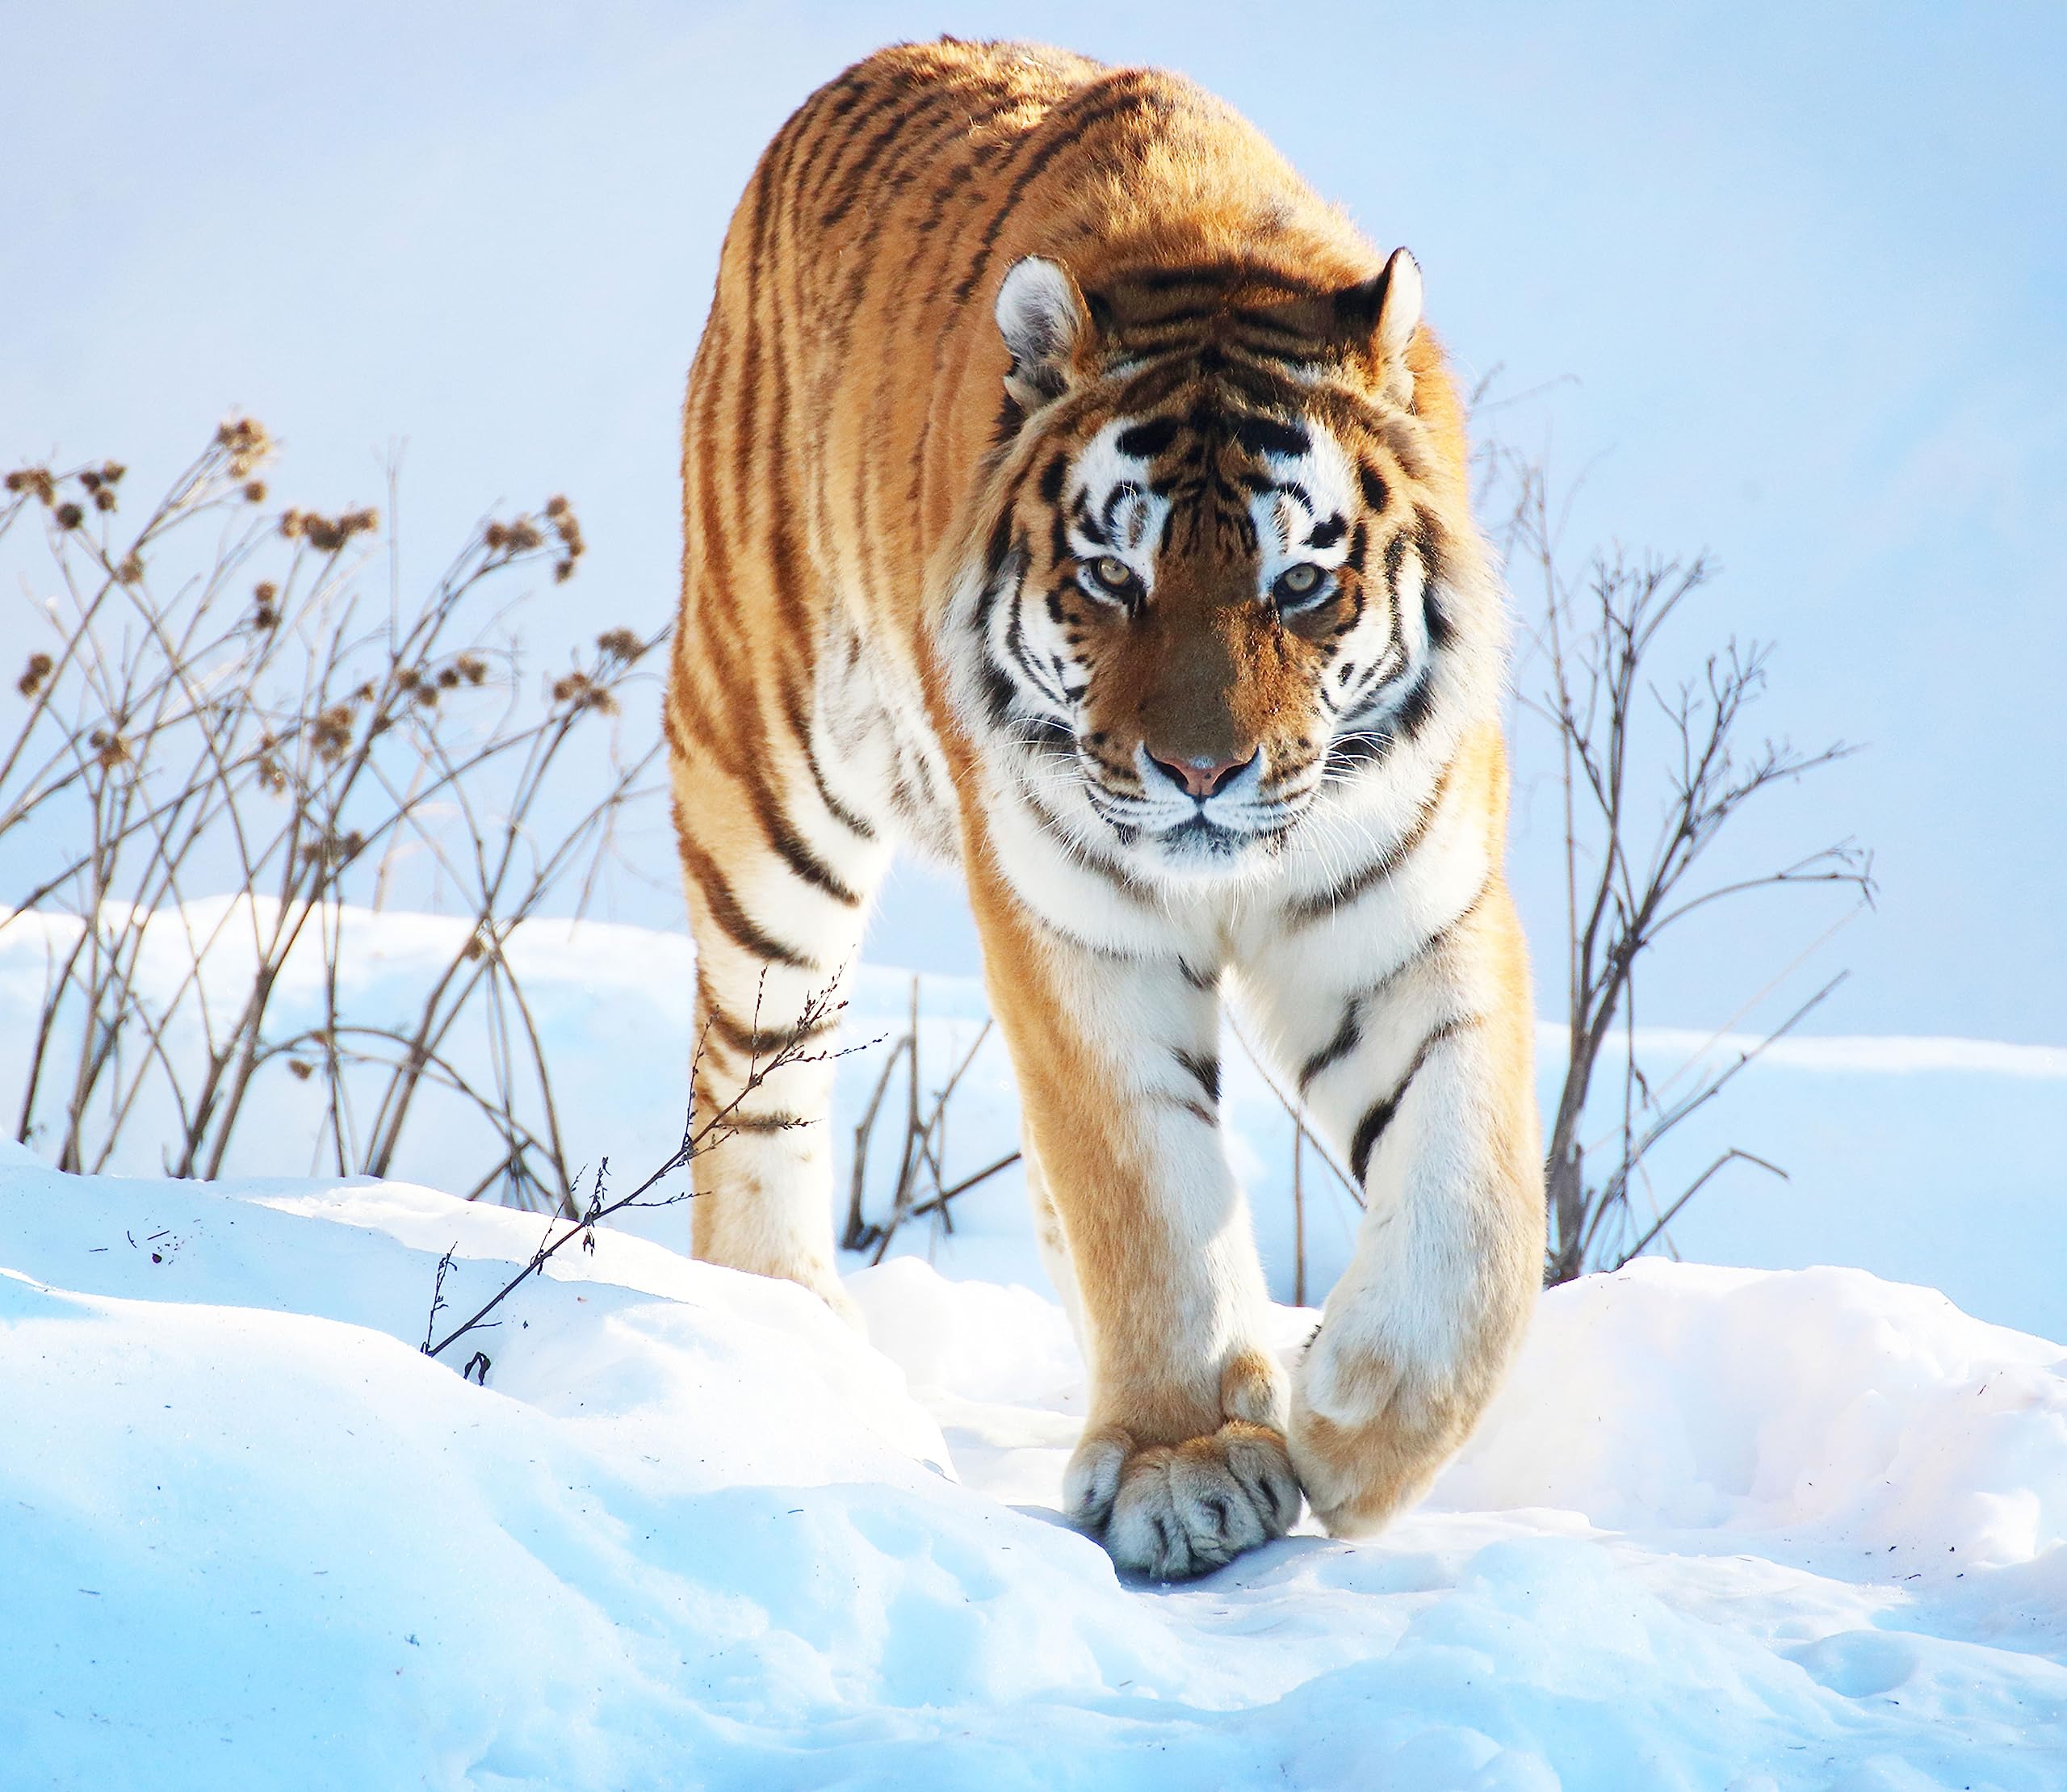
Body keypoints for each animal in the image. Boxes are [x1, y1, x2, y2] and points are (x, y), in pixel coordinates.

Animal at [666, 38, 1544, 1581]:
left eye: (1298, 584)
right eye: (1110, 579)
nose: (1199, 772)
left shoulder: (1406, 913)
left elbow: (1476, 1200)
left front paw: (1354, 1422)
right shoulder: (1075, 925)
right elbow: (1145, 1187)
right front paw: (1187, 1463)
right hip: (766, 778)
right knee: (756, 1071)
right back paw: (786, 1335)